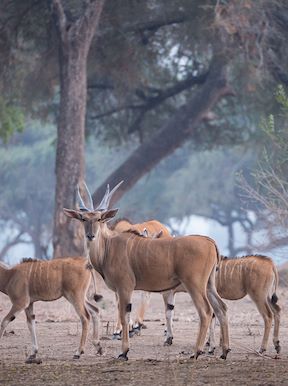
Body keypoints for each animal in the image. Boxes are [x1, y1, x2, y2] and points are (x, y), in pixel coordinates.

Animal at [64, 182, 231, 360]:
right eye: (83, 218)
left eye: (99, 219)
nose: (90, 235)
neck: (108, 247)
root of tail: (209, 241)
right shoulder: (124, 290)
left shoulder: (124, 287)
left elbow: (124, 317)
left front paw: (124, 352)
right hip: (209, 285)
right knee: (221, 308)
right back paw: (224, 351)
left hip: (195, 285)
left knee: (206, 312)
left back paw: (197, 351)